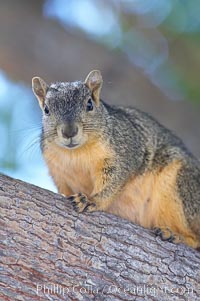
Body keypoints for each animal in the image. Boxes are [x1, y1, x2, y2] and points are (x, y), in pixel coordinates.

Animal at [32, 69, 200, 248]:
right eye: (46, 110)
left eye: (89, 104)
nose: (69, 132)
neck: (75, 154)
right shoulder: (57, 170)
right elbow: (64, 188)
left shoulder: (124, 152)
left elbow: (114, 182)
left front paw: (91, 200)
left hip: (180, 185)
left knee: (195, 237)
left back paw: (175, 235)